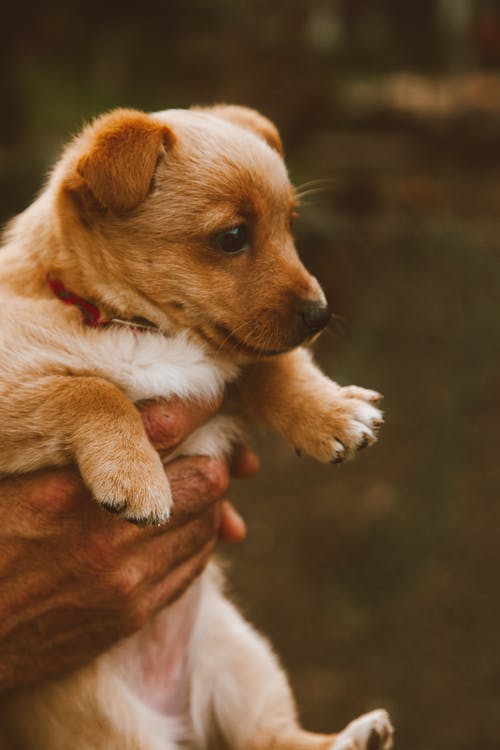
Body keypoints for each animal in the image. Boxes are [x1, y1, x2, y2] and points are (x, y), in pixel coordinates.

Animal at [0, 107, 392, 750]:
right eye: (231, 238)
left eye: (290, 226)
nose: (321, 315)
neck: (144, 329)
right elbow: (95, 391)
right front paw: (136, 477)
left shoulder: (224, 371)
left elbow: (271, 365)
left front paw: (329, 412)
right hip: (113, 726)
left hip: (239, 654)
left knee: (272, 736)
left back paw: (358, 736)